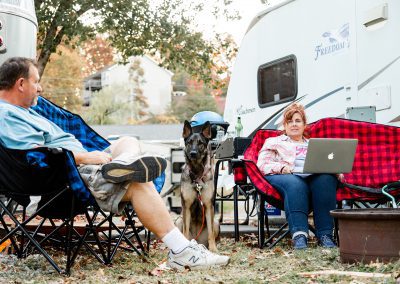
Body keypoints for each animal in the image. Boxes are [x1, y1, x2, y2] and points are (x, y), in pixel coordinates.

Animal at [176, 121, 219, 252]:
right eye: (189, 142)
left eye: (200, 143)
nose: (193, 153)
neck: (196, 174)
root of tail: (197, 240)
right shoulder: (186, 206)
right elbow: (185, 231)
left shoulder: (209, 206)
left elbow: (210, 232)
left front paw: (213, 249)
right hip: (178, 220)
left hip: (216, 222)